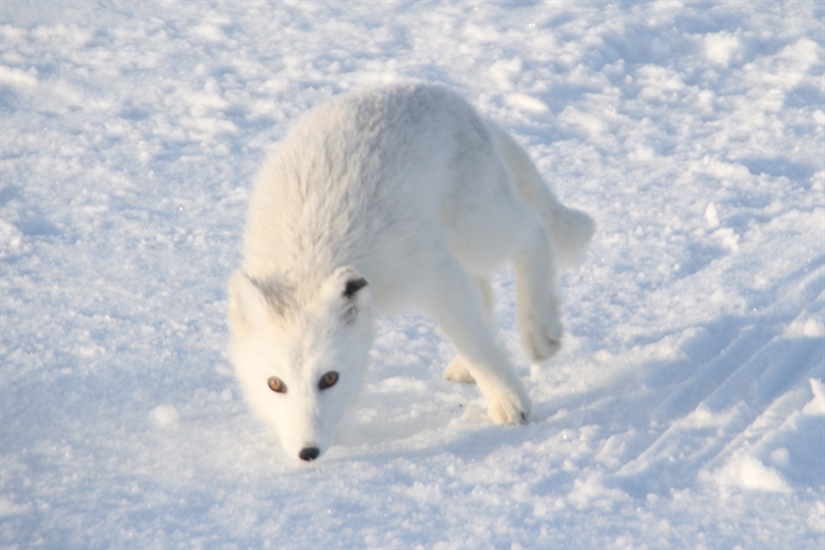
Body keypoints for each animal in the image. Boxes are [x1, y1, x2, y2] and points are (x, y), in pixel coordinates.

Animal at [229, 83, 596, 462]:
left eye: (329, 378)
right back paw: (465, 366)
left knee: (533, 233)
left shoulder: (432, 272)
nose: (308, 452)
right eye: (275, 384)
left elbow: (476, 342)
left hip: (477, 226)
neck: (308, 259)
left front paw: (509, 402)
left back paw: (540, 332)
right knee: (484, 287)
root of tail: (461, 104)